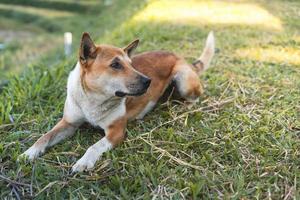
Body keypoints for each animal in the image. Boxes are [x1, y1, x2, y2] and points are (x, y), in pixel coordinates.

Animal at [19, 31, 214, 172]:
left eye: (131, 64)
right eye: (115, 65)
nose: (148, 81)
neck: (93, 99)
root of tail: (182, 58)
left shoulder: (116, 131)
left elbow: (94, 146)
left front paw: (84, 161)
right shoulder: (68, 123)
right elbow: (44, 137)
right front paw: (29, 152)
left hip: (183, 80)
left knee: (197, 96)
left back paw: (184, 107)